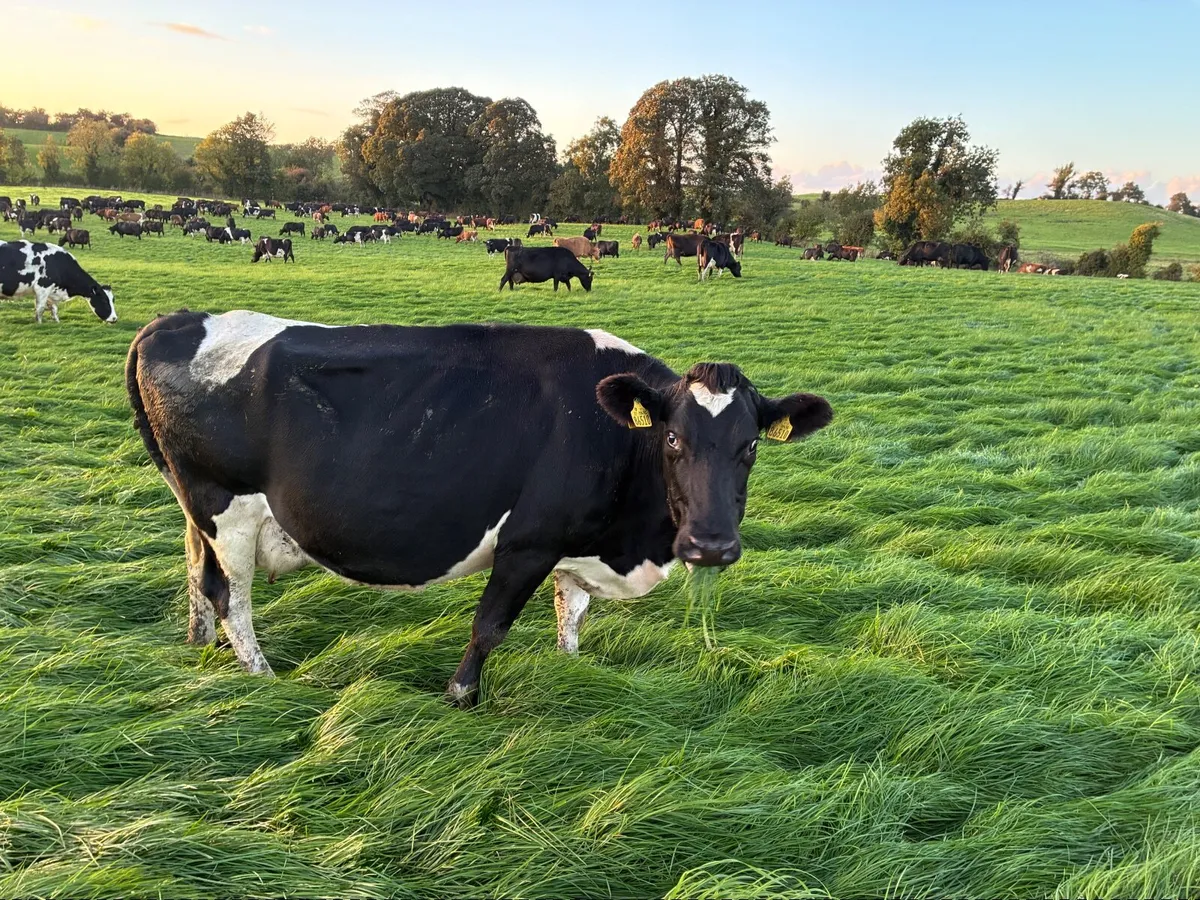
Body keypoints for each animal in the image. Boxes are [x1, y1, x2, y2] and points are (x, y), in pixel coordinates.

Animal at [124, 309, 833, 704]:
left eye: (749, 446)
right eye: (673, 439)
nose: (711, 545)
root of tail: (175, 320)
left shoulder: (575, 547)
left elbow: (570, 618)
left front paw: (573, 674)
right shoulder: (529, 542)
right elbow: (489, 626)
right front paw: (461, 696)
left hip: (197, 513)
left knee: (196, 575)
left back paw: (198, 649)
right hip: (226, 509)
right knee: (229, 595)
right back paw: (262, 678)